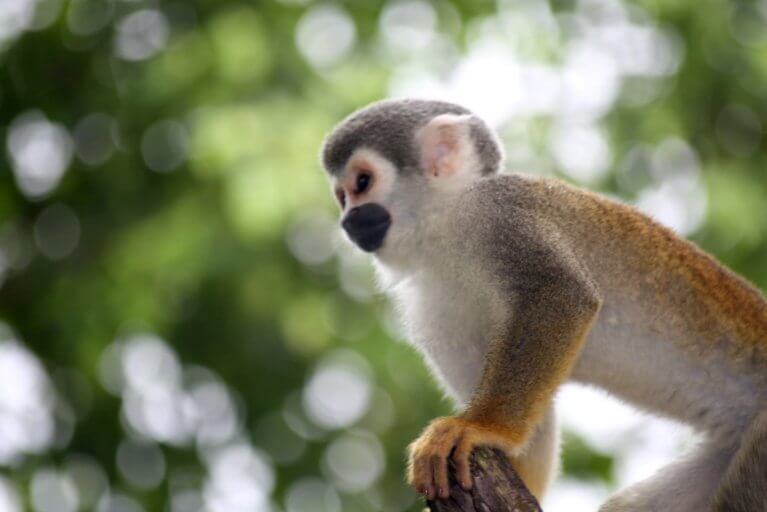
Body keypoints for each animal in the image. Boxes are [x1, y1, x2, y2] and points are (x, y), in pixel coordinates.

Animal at [319, 98, 767, 512]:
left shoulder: (499, 214)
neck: (443, 226)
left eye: (362, 182)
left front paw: (481, 426)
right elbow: (537, 415)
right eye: (341, 197)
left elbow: (562, 294)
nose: (347, 221)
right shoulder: (427, 303)